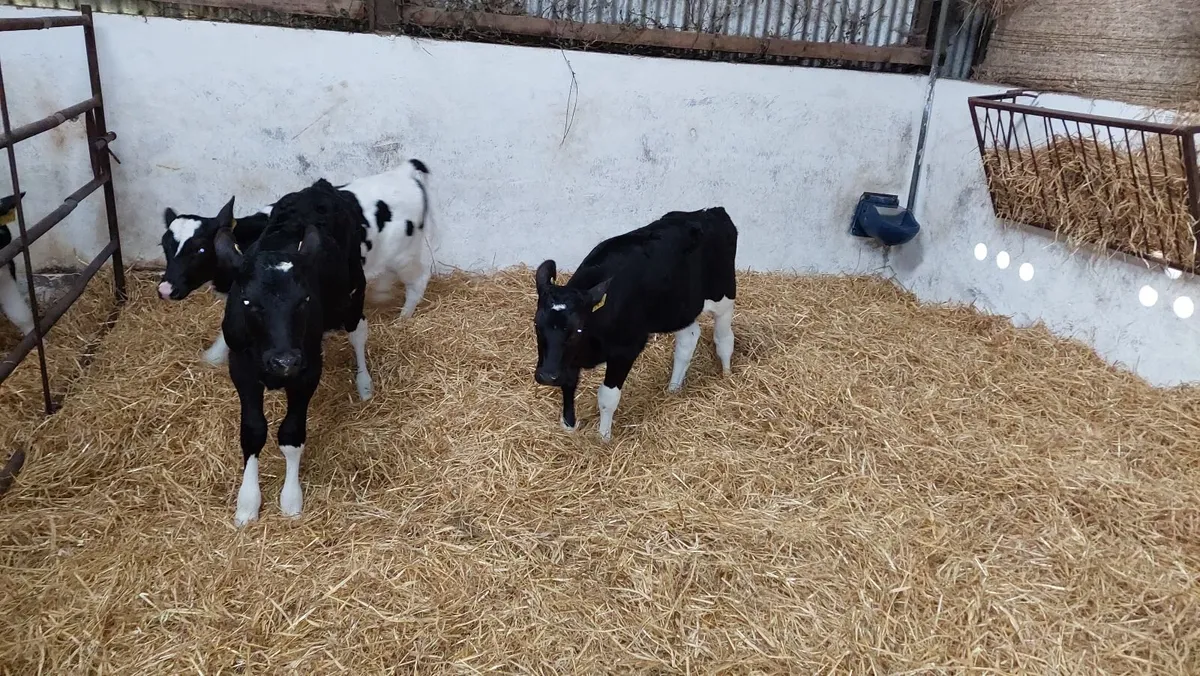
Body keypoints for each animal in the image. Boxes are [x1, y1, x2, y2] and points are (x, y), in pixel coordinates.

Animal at [159, 158, 435, 366]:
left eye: (201, 249)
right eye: (165, 246)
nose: (165, 288)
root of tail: (404, 172)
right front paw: (213, 357)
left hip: (403, 255)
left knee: (419, 279)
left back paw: (404, 316)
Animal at [214, 178, 372, 527]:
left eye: (305, 300)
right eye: (248, 301)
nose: (284, 360)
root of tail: (319, 186)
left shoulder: (308, 367)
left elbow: (291, 433)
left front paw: (290, 500)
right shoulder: (241, 366)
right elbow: (252, 431)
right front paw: (247, 504)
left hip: (353, 290)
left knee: (358, 331)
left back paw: (365, 383)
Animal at [533, 207, 738, 441]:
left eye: (578, 329)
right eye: (537, 325)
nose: (547, 376)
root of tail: (709, 211)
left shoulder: (625, 350)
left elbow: (607, 396)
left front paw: (603, 437)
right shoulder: (566, 360)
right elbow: (568, 384)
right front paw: (569, 425)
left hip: (724, 296)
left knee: (724, 339)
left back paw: (726, 375)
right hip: (680, 308)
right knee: (688, 339)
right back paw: (673, 388)